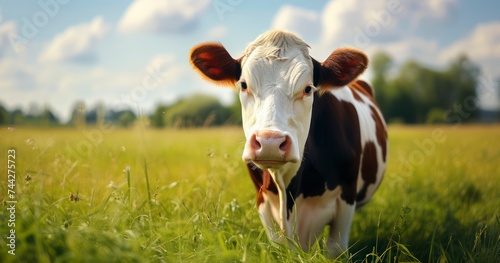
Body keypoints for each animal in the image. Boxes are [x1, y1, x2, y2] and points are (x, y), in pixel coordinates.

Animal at [188, 29, 386, 258]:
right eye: (243, 85)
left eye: (308, 89)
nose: (269, 142)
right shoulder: (263, 201)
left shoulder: (346, 198)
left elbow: (335, 248)